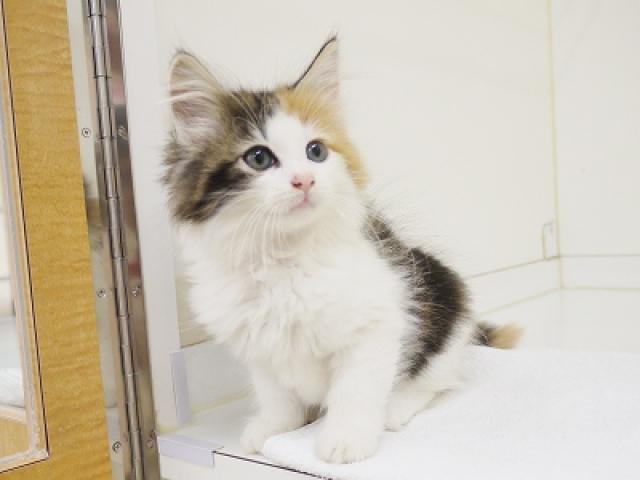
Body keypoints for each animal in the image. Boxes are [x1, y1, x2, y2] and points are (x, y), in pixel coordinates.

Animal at [163, 36, 519, 464]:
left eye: (316, 152)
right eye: (259, 158)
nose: (305, 180)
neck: (283, 259)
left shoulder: (377, 324)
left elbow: (356, 392)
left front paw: (345, 441)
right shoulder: (259, 348)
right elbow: (276, 395)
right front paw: (274, 428)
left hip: (443, 305)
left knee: (437, 380)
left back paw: (396, 407)